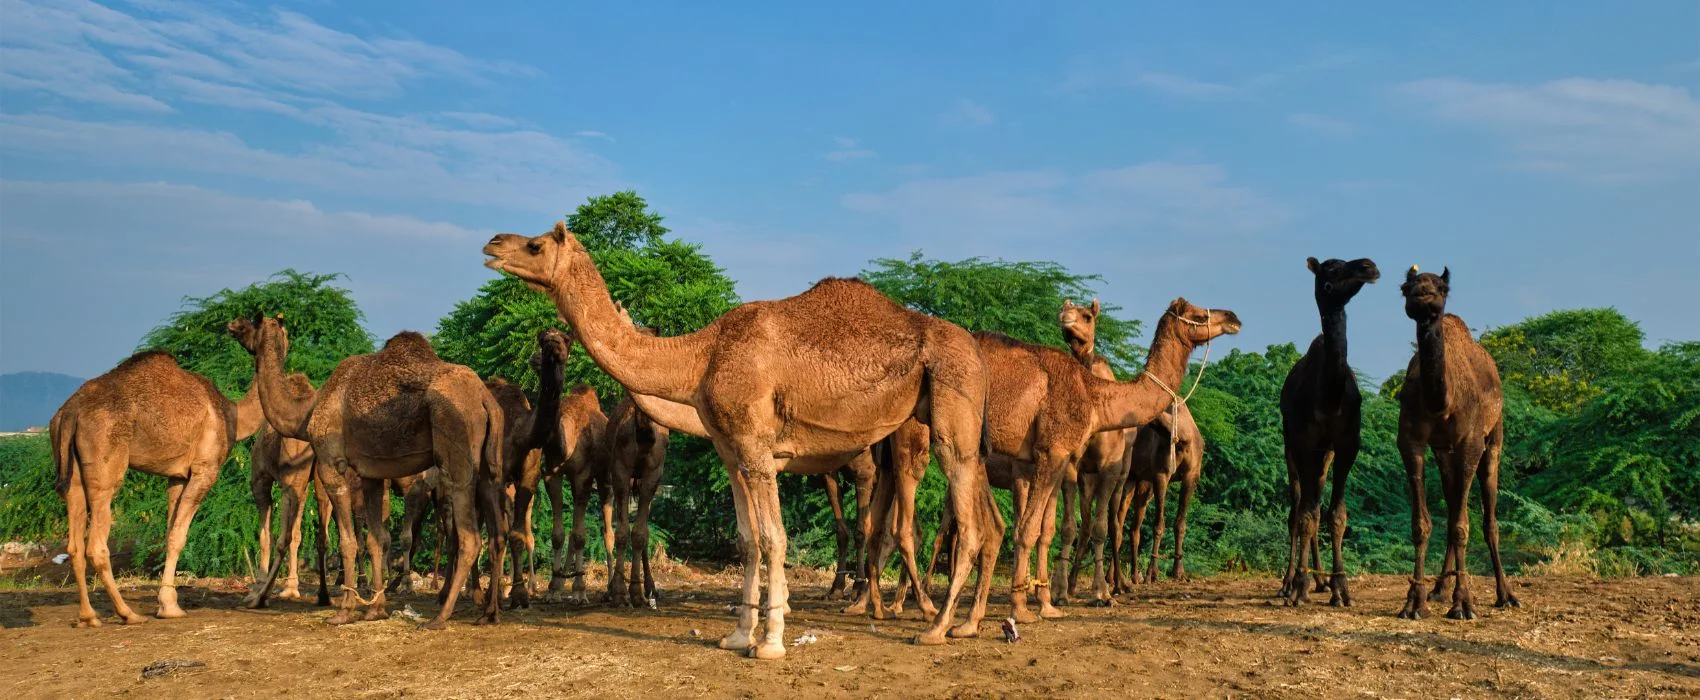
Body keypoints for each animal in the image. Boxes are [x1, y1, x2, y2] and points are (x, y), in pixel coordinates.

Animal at [50, 348, 264, 626]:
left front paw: (167, 603)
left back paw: (89, 617)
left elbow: (170, 532)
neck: (233, 414)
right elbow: (179, 536)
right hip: (105, 467)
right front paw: (170, 607)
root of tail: (70, 412)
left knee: (74, 544)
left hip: (71, 473)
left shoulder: (177, 476)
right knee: (96, 543)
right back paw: (128, 613)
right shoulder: (205, 469)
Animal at [241, 316, 507, 628]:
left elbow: (348, 542)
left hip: (455, 448)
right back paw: (489, 613)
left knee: (469, 536)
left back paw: (439, 617)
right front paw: (375, 609)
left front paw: (344, 610)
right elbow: (376, 539)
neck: (308, 412)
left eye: (248, 323)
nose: (230, 326)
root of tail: (485, 398)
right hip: (490, 467)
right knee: (496, 531)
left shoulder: (331, 463)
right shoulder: (371, 474)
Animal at [604, 393, 669, 606]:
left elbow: (640, 533)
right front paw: (618, 592)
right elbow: (622, 532)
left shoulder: (654, 472)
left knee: (645, 529)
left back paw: (650, 588)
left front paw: (636, 593)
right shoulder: (620, 470)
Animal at [1276, 257, 1379, 607]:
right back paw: (1288, 583)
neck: (1329, 396)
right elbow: (1305, 516)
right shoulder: (1304, 444)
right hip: (1290, 448)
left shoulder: (1347, 444)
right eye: (1331, 270)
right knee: (1297, 510)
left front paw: (1340, 587)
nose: (1369, 266)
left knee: (1315, 506)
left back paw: (1320, 580)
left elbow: (1336, 515)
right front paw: (1299, 586)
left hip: (1325, 455)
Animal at [1396, 266, 1519, 620]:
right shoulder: (1411, 442)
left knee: (1487, 517)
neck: (1442, 400)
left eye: (1441, 287)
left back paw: (1505, 594)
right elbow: (1422, 525)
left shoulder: (1470, 442)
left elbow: (1463, 526)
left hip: (1494, 437)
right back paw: (1439, 589)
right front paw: (1414, 601)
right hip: (1443, 451)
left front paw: (1463, 603)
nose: (1422, 293)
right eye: (1406, 287)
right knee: (1452, 504)